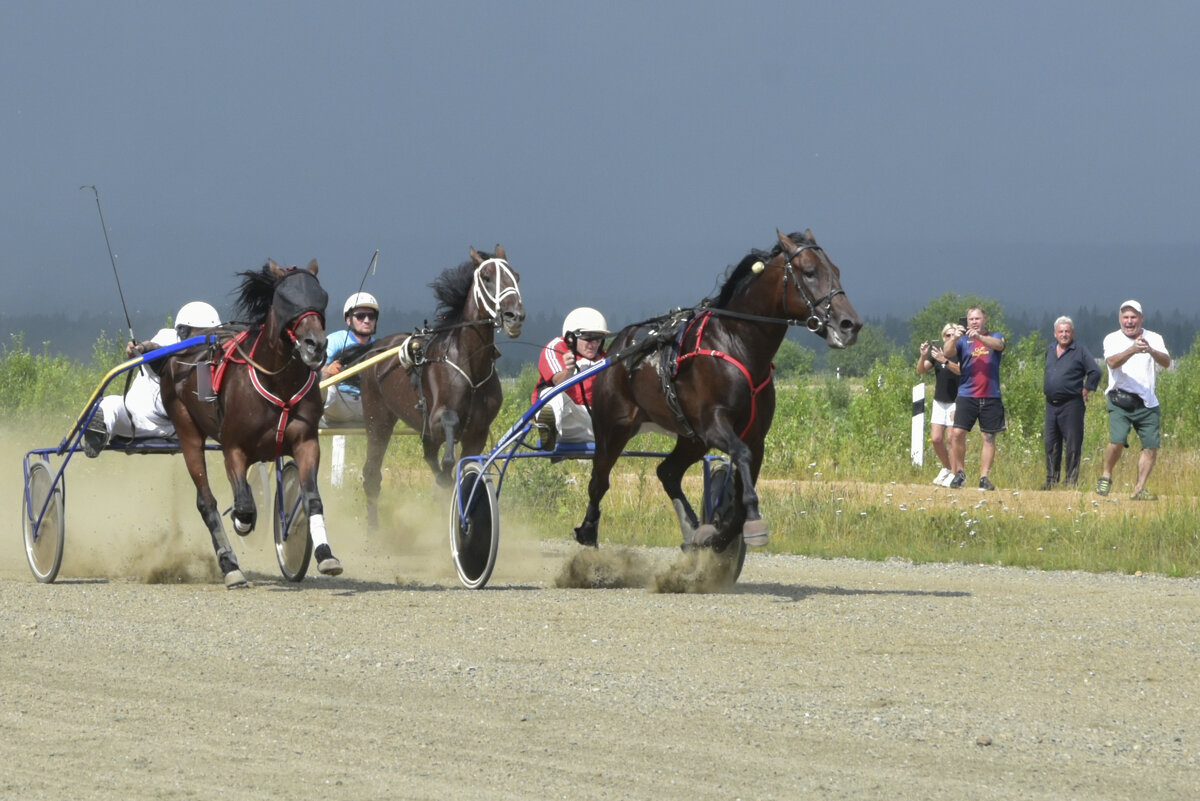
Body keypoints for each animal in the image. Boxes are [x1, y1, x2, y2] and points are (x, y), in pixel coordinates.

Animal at [159, 260, 338, 585]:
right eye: (286, 298)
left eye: (321, 296)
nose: (315, 345)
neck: (277, 382)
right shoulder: (234, 448)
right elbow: (243, 506)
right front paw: (242, 523)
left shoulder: (306, 442)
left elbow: (311, 499)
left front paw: (325, 555)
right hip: (187, 431)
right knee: (206, 502)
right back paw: (230, 565)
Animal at [355, 247, 525, 525]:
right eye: (487, 277)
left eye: (517, 277)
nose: (514, 317)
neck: (470, 363)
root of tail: (376, 348)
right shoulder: (436, 420)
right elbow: (448, 448)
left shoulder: (477, 432)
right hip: (377, 417)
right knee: (372, 473)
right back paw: (373, 528)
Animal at [576, 231, 859, 553]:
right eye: (810, 272)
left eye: (836, 270)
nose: (850, 325)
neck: (736, 344)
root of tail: (618, 349)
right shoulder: (714, 425)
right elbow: (741, 456)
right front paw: (753, 522)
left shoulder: (754, 436)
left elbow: (740, 491)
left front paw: (717, 534)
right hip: (614, 427)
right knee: (599, 480)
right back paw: (588, 532)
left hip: (691, 439)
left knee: (667, 472)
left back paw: (690, 527)